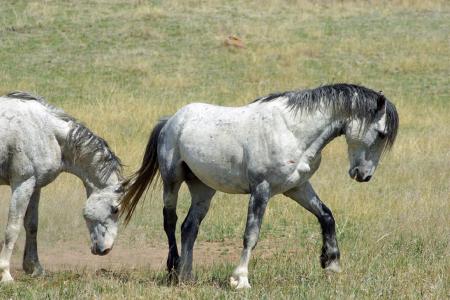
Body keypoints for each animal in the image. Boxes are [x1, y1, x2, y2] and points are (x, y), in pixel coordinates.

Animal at [0, 92, 123, 282]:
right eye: (115, 209)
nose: (105, 250)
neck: (47, 132)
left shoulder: (35, 186)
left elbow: (31, 225)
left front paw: (35, 268)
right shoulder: (22, 184)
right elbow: (12, 229)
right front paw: (5, 274)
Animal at [121, 84, 400, 288]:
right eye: (381, 133)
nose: (364, 175)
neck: (292, 131)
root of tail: (170, 121)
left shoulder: (297, 187)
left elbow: (326, 215)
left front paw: (331, 263)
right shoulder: (261, 190)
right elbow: (251, 234)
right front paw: (240, 280)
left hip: (203, 188)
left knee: (189, 227)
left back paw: (187, 276)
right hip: (172, 180)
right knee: (170, 221)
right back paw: (173, 269)